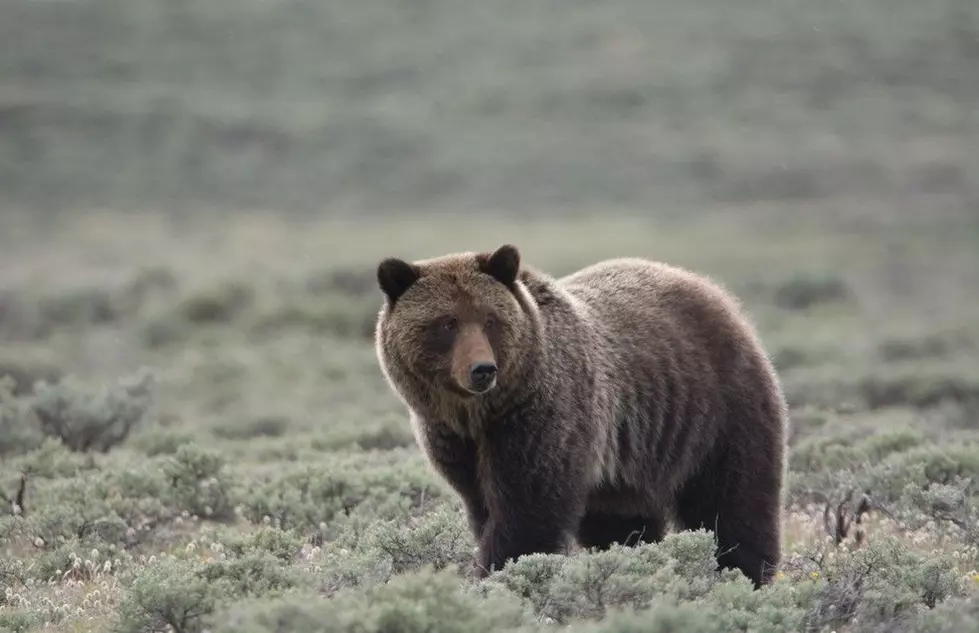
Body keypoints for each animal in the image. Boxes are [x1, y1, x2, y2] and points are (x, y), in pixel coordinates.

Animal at [373, 244, 788, 588]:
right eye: (447, 322)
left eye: (490, 320)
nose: (482, 369)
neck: (481, 413)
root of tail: (717, 294)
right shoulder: (455, 439)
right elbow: (484, 506)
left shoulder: (539, 418)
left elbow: (527, 509)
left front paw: (500, 574)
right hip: (627, 465)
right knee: (622, 523)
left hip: (716, 411)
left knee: (733, 499)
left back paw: (744, 573)